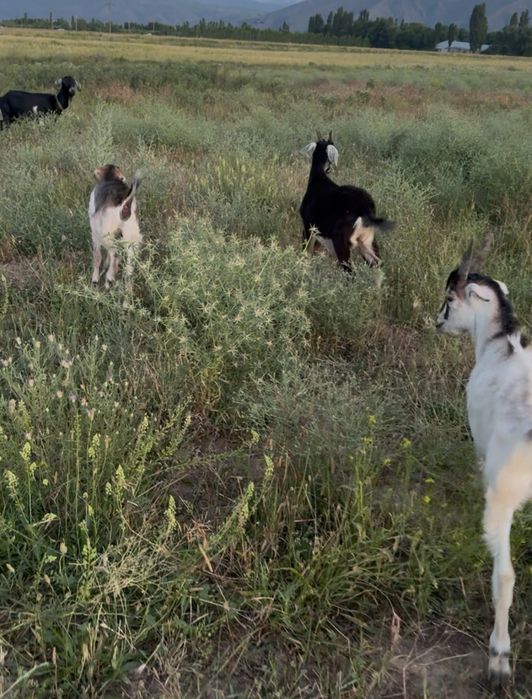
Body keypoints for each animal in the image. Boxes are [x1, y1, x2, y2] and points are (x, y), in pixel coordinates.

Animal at [299, 132, 393, 272]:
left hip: (341, 241)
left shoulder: (308, 225)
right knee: (377, 264)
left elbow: (305, 250)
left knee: (349, 268)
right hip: (368, 243)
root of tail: (366, 208)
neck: (318, 178)